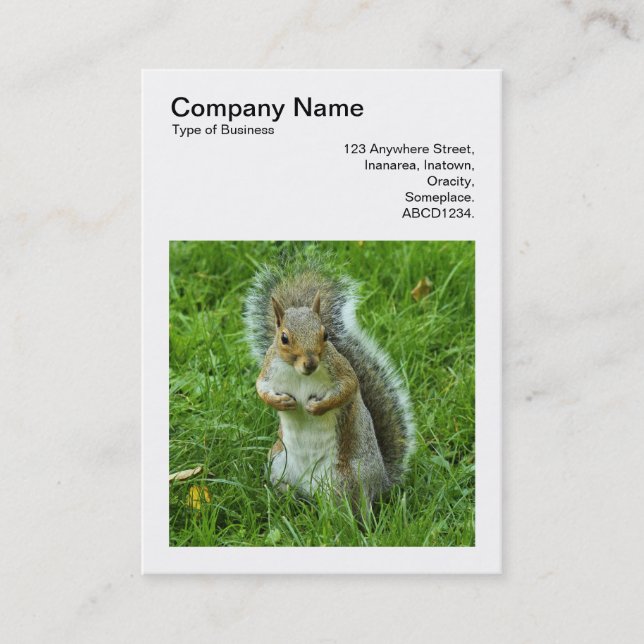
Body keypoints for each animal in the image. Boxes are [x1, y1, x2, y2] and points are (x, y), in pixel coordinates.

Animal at [244, 261, 415, 507]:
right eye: (284, 338)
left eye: (325, 335)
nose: (310, 363)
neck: (299, 374)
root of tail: (381, 482)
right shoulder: (269, 370)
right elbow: (261, 389)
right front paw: (281, 402)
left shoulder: (341, 371)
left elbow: (348, 388)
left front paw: (317, 407)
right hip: (277, 463)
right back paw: (284, 499)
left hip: (345, 480)